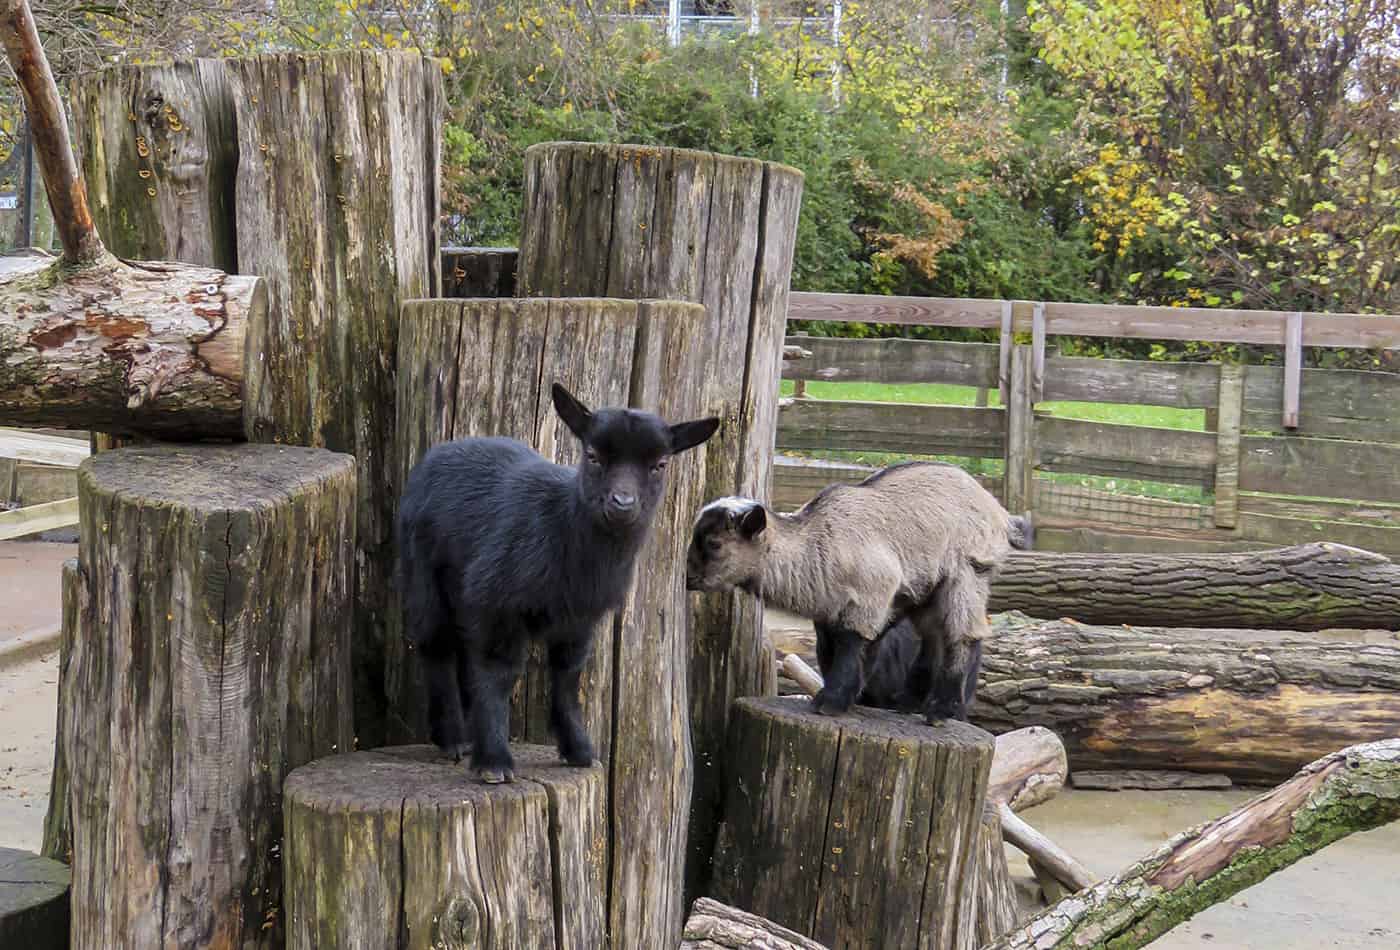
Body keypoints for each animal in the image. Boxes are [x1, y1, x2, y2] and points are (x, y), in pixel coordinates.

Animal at [400, 383, 716, 783]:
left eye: (660, 464)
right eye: (593, 456)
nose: (622, 503)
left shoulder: (581, 618)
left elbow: (567, 677)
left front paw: (578, 749)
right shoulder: (495, 601)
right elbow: (498, 673)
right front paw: (494, 761)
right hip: (423, 575)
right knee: (437, 648)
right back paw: (453, 738)